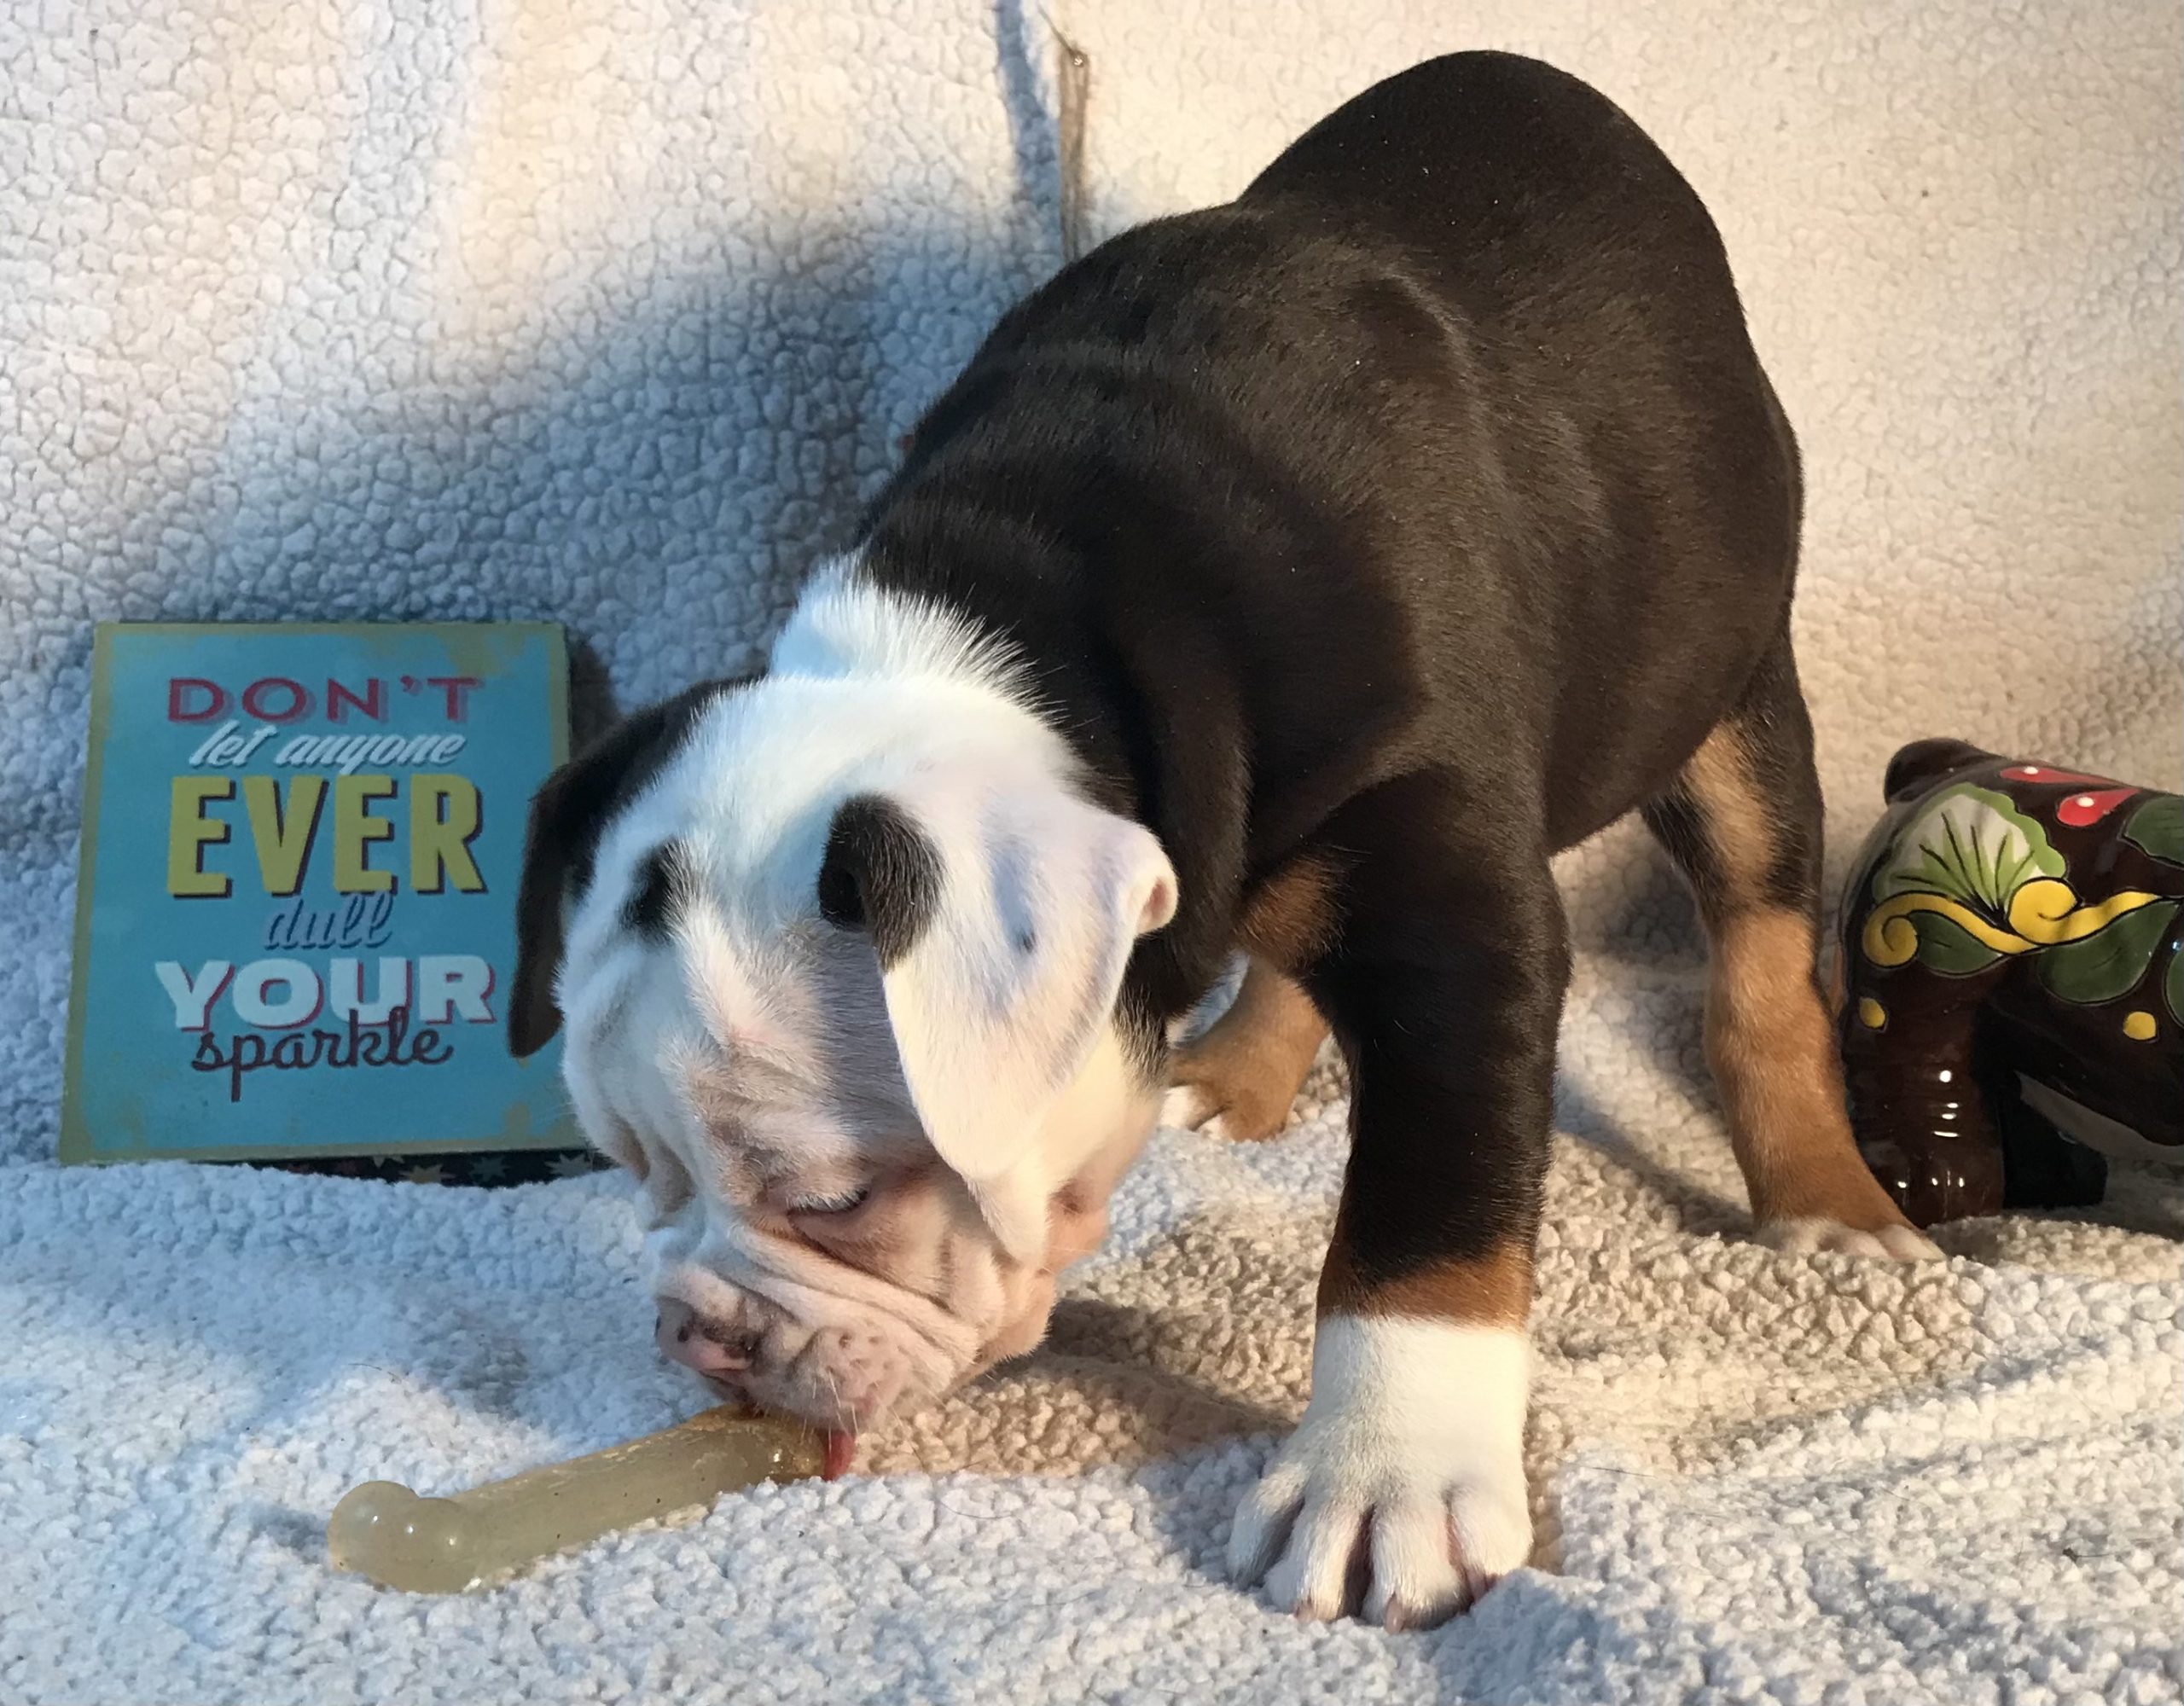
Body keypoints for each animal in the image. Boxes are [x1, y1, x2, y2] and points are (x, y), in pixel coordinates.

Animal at [508, 51, 1940, 1629]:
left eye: (835, 1198)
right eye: (631, 1172)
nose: (697, 1339)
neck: (1022, 624)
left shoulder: (1455, 916)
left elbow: (1428, 1207)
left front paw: (1388, 1475)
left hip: (1730, 679)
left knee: (1758, 946)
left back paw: (1828, 1199)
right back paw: (1239, 1068)